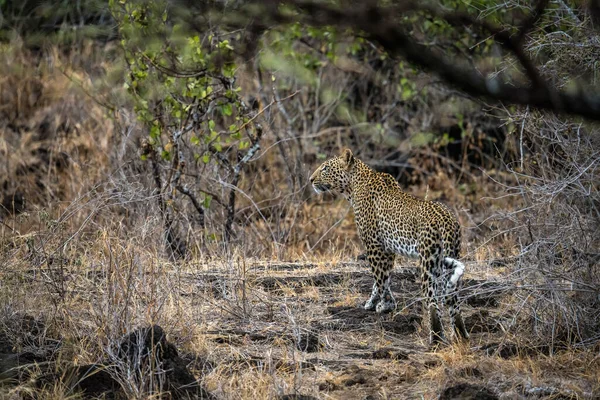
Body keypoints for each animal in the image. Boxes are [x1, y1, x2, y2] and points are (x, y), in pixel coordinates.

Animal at [310, 147, 468, 344]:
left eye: (325, 168)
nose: (311, 180)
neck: (353, 186)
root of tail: (447, 220)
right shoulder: (388, 249)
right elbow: (382, 279)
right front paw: (374, 303)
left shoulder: (374, 245)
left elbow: (380, 278)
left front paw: (385, 305)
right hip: (450, 256)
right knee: (454, 301)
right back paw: (462, 337)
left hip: (429, 261)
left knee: (432, 301)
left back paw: (436, 340)